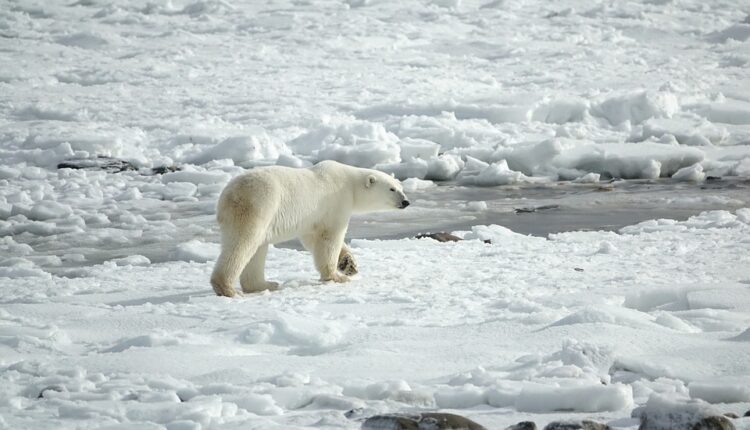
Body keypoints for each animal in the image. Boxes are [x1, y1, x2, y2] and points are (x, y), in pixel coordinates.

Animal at [210, 160, 412, 298]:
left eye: (401, 187)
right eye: (392, 189)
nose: (406, 202)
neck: (350, 183)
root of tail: (227, 196)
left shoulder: (311, 218)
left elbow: (312, 239)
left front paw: (349, 265)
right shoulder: (335, 202)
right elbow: (329, 238)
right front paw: (336, 276)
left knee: (257, 249)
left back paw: (266, 284)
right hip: (258, 205)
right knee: (243, 244)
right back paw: (228, 289)